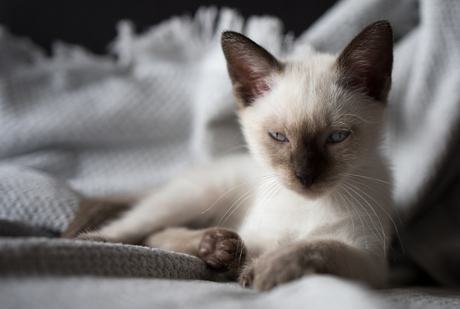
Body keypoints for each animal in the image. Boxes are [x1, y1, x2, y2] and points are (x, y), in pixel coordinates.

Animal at [63, 20, 396, 290]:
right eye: (279, 137)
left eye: (337, 137)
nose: (306, 177)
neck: (307, 206)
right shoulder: (258, 236)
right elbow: (273, 249)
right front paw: (246, 265)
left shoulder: (371, 264)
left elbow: (318, 246)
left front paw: (266, 270)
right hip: (196, 196)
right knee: (138, 228)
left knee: (154, 234)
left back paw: (214, 246)